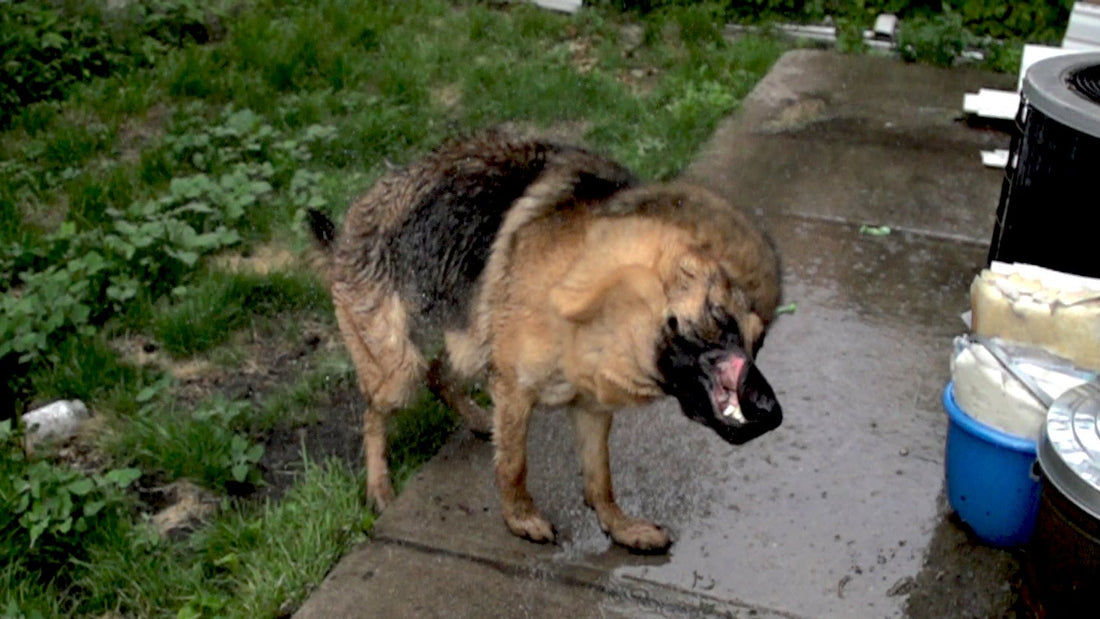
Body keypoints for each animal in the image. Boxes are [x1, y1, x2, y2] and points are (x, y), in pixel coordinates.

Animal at [305, 129, 778, 551]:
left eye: (759, 342)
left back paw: (476, 419)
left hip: (468, 345)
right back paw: (379, 485)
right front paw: (521, 519)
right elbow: (514, 465)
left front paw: (620, 527)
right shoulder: (515, 391)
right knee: (373, 415)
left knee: (439, 373)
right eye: (719, 318)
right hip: (398, 370)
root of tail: (348, 226)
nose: (772, 414)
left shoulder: (590, 409)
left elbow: (600, 479)